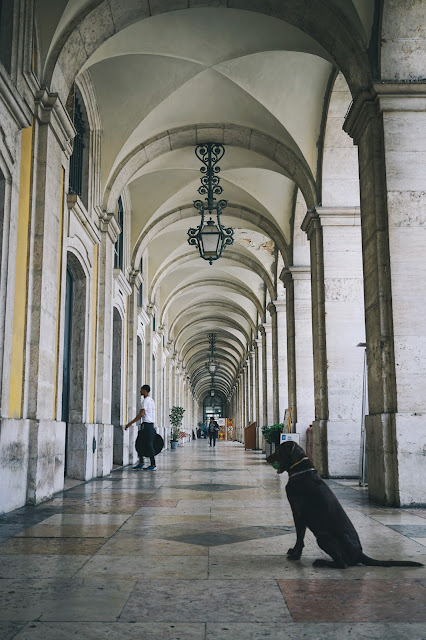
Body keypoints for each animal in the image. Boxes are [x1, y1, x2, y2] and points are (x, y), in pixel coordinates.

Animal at [266, 442, 422, 568]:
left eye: (278, 450)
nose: (267, 458)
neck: (301, 470)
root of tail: (359, 554)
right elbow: (300, 537)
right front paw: (294, 552)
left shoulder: (298, 514)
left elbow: (299, 538)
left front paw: (295, 555)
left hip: (323, 537)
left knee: (342, 564)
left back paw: (323, 562)